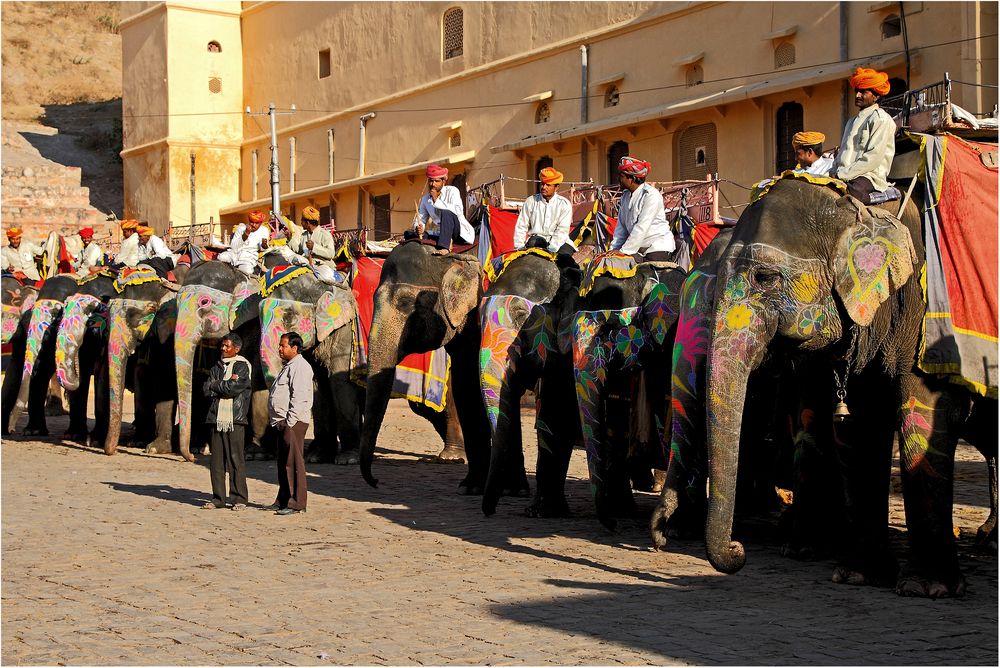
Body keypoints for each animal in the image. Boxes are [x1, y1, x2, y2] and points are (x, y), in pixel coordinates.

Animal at [700, 177, 996, 600]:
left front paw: (927, 587)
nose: (738, 551)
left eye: (764, 278)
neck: (864, 212)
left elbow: (924, 407)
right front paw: (859, 576)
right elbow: (860, 421)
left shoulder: (924, 317)